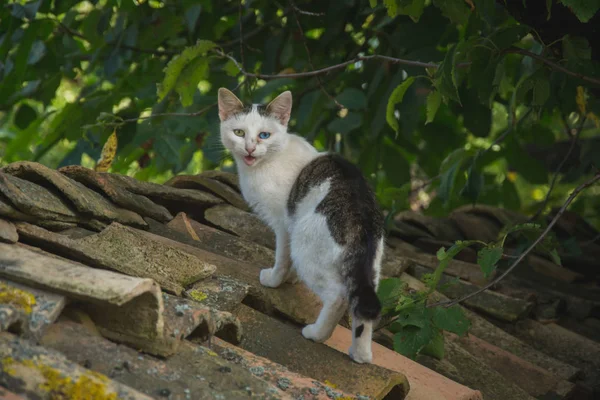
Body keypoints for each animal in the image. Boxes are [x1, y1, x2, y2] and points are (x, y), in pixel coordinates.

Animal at [217, 89, 384, 364]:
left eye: (264, 135)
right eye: (239, 132)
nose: (250, 148)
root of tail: (361, 216)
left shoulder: (284, 225)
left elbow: (282, 257)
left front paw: (275, 279)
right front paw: (291, 278)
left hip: (306, 245)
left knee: (338, 297)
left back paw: (316, 334)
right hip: (370, 268)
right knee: (361, 304)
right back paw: (360, 354)